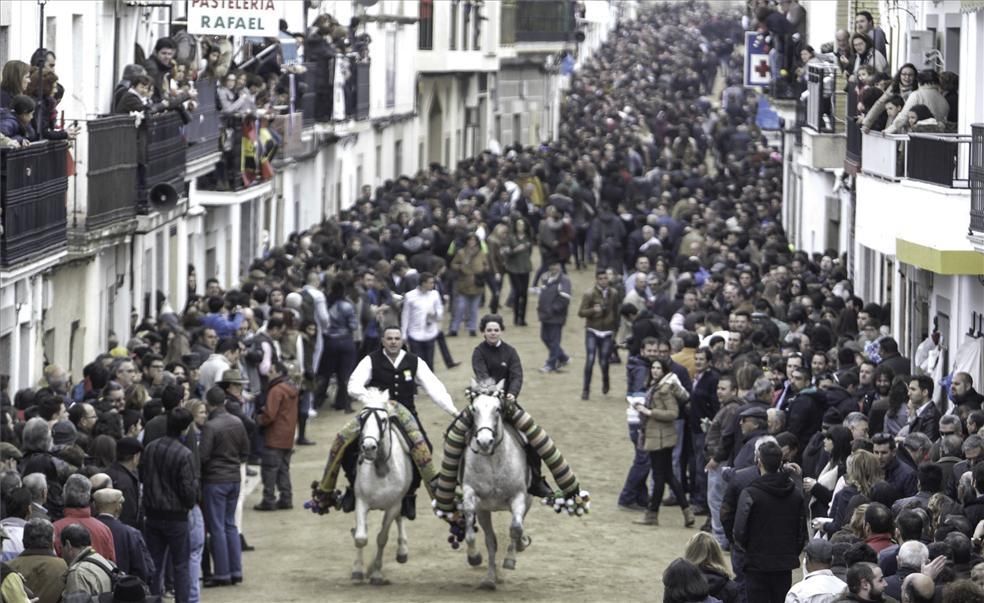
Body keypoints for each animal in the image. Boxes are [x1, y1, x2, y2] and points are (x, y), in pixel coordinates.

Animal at [350, 392, 412, 584]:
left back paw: (402, 551)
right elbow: (360, 537)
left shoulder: (393, 506)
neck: (381, 469)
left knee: (399, 517)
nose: (369, 447)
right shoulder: (361, 501)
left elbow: (382, 538)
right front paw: (358, 570)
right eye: (361, 417)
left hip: (400, 501)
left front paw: (376, 573)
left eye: (383, 419)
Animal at [460, 380, 532, 592]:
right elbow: (472, 533)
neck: (492, 460)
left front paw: (510, 559)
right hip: (485, 511)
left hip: (527, 501)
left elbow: (516, 527)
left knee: (517, 526)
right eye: (474, 409)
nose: (484, 442)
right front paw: (474, 557)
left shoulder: (519, 497)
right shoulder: (471, 495)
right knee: (491, 541)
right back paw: (490, 579)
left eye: (498, 409)